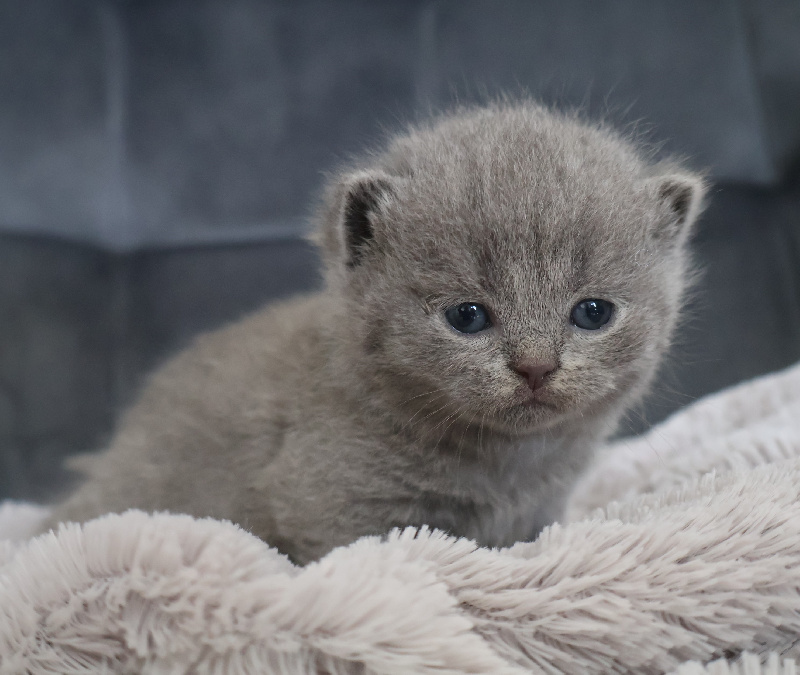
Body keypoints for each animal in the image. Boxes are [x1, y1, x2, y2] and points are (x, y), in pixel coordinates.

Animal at [45, 101, 708, 564]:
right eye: (467, 316)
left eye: (593, 313)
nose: (536, 366)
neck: (505, 469)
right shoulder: (330, 507)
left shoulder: (540, 510)